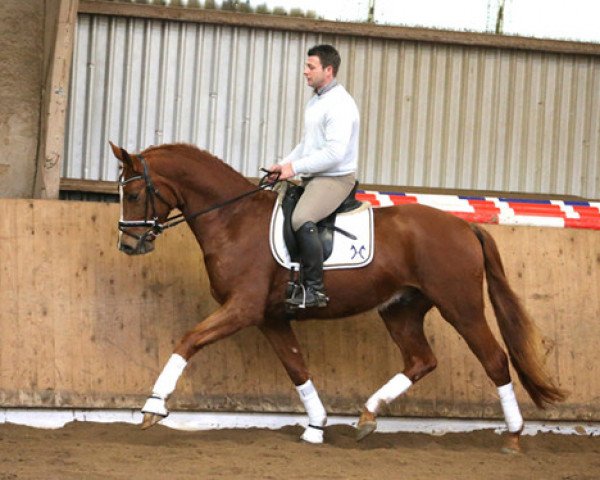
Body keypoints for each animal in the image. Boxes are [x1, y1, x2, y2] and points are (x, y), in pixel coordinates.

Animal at [110, 142, 564, 450]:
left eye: (132, 194)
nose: (129, 246)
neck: (233, 219)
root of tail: (463, 225)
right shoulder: (271, 318)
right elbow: (297, 368)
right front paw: (316, 425)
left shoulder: (242, 309)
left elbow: (188, 340)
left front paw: (153, 407)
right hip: (401, 309)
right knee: (421, 360)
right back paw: (366, 416)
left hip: (461, 306)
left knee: (494, 359)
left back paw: (514, 436)